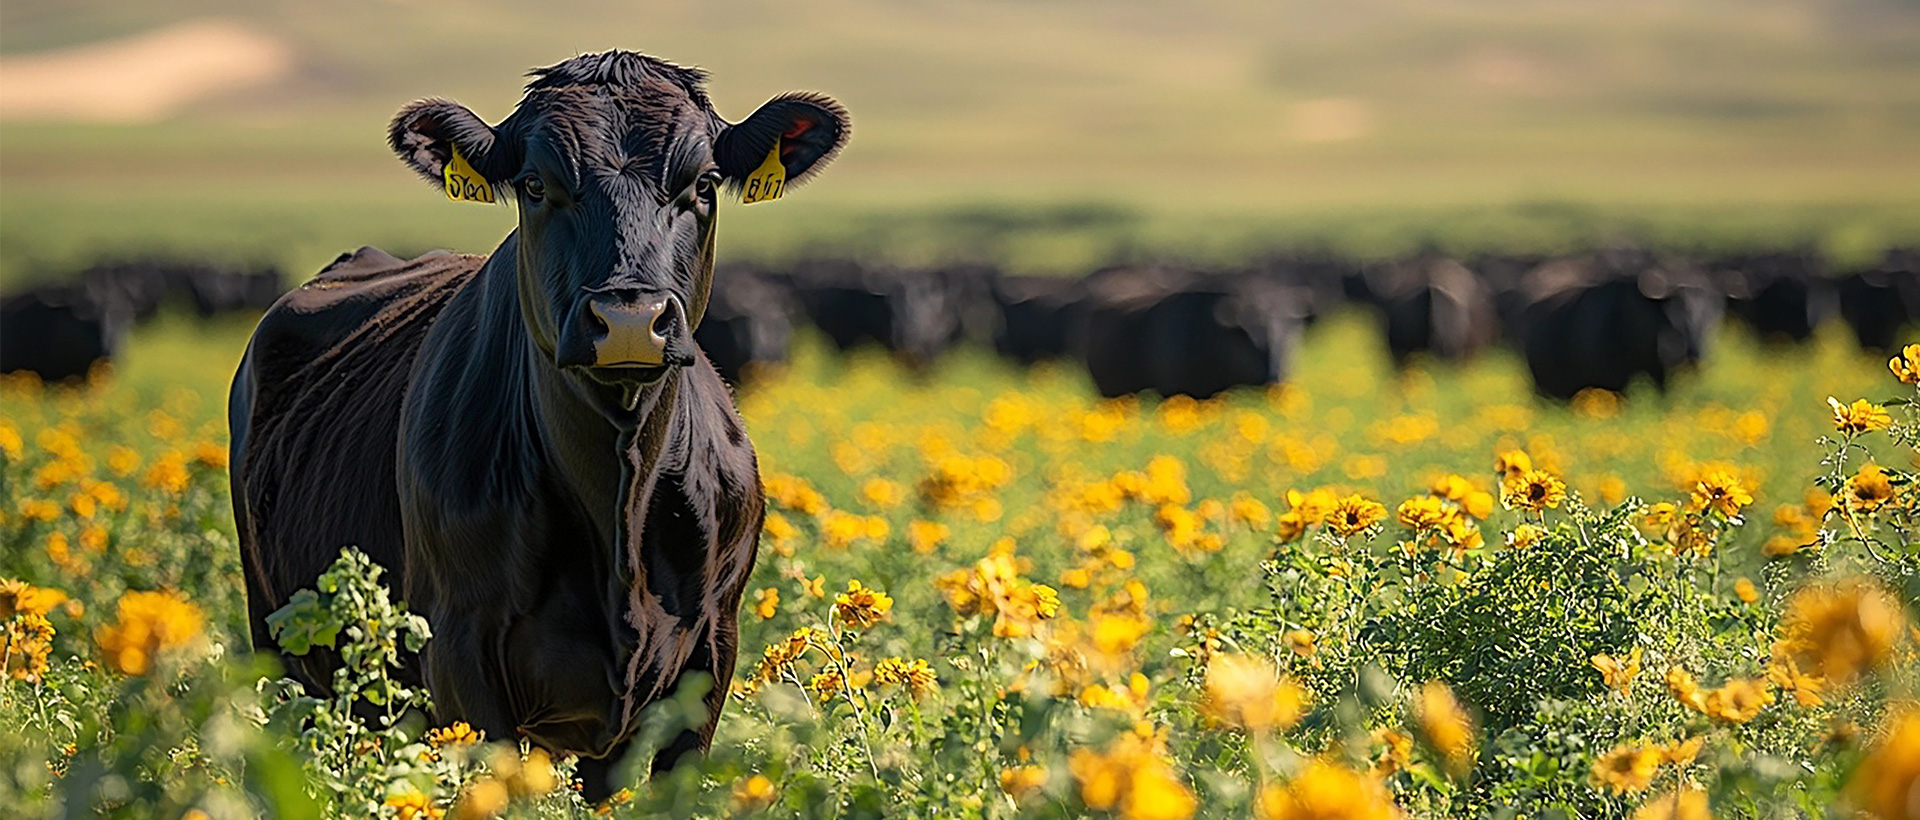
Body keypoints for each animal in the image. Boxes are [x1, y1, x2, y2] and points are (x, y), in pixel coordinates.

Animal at [224, 49, 848, 795]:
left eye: (702, 183)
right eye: (534, 183)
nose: (630, 318)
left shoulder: (709, 652)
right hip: (278, 643)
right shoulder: (459, 653)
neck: (619, 502)